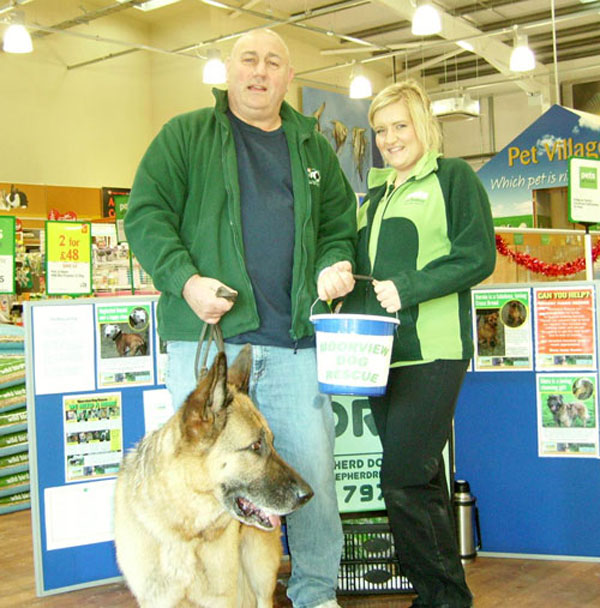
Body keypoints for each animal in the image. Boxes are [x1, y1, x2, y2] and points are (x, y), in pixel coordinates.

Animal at [112, 346, 312, 608]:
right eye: (256, 446)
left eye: (272, 441)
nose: (308, 495)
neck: (186, 531)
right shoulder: (157, 600)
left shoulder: (220, 598)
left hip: (259, 566)